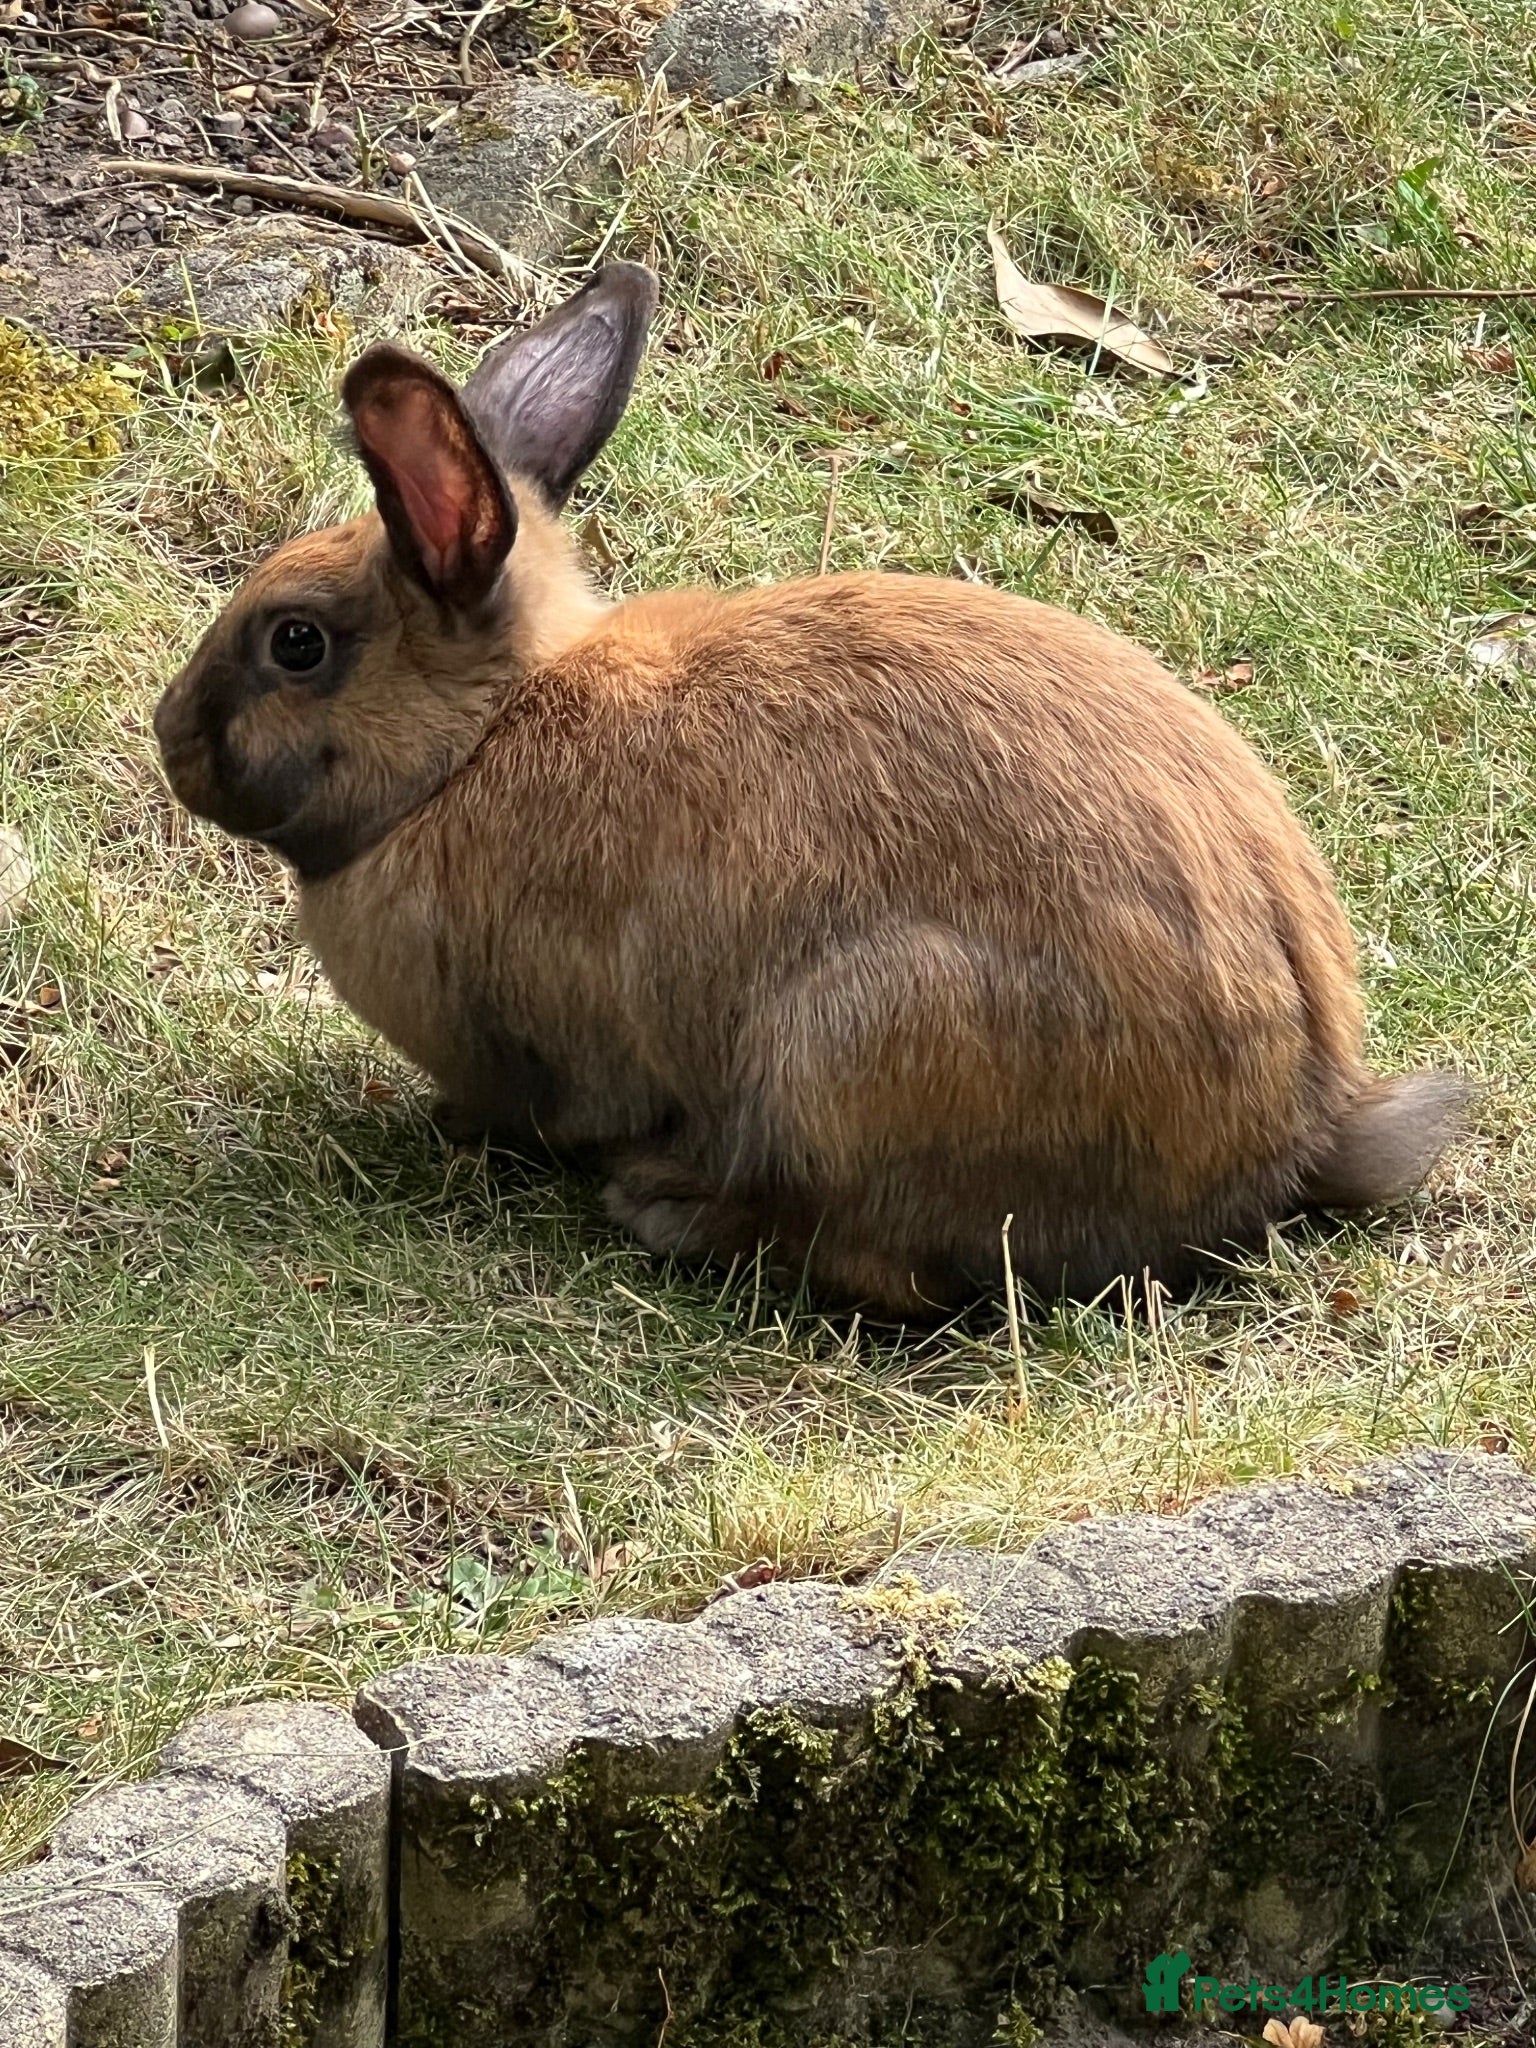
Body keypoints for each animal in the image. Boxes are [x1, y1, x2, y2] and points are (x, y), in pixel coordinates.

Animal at [153, 261, 1469, 1319]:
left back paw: (673, 1210)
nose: (170, 738)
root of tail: (1295, 1129)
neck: (474, 743)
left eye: (296, 644)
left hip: (849, 1041)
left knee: (895, 1270)